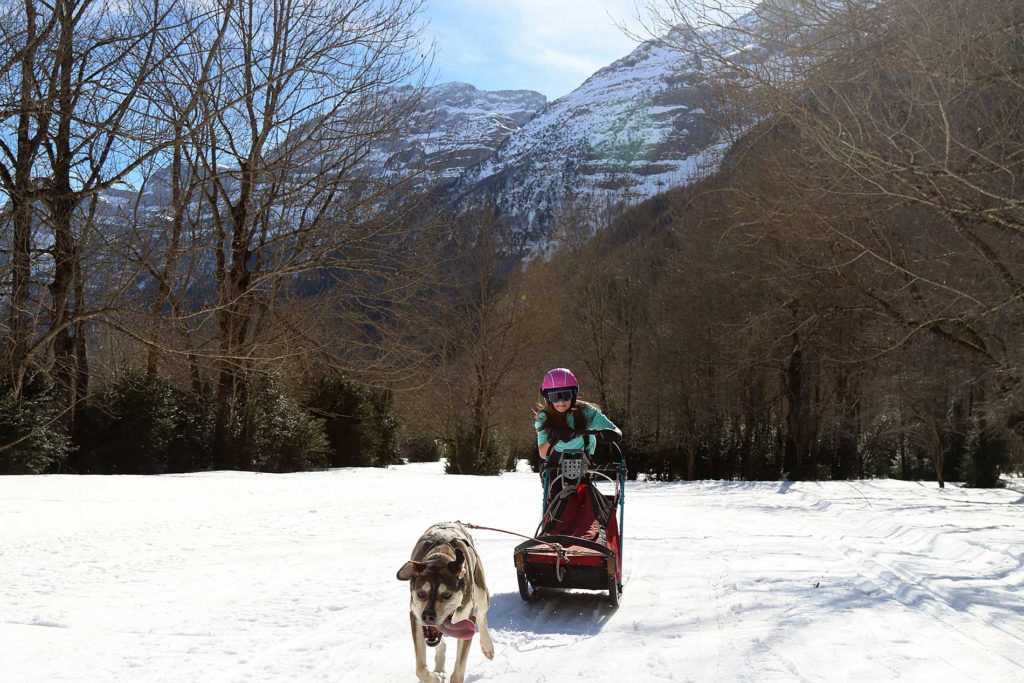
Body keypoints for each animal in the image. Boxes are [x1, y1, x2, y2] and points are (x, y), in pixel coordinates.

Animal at [397, 524, 493, 683]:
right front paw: (435, 677)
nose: (428, 616)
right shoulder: (415, 617)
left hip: (481, 592)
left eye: (447, 595)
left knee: (481, 615)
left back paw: (487, 646)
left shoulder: (467, 618)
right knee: (441, 645)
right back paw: (439, 668)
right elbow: (420, 669)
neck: (440, 556)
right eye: (420, 594)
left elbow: (458, 672)